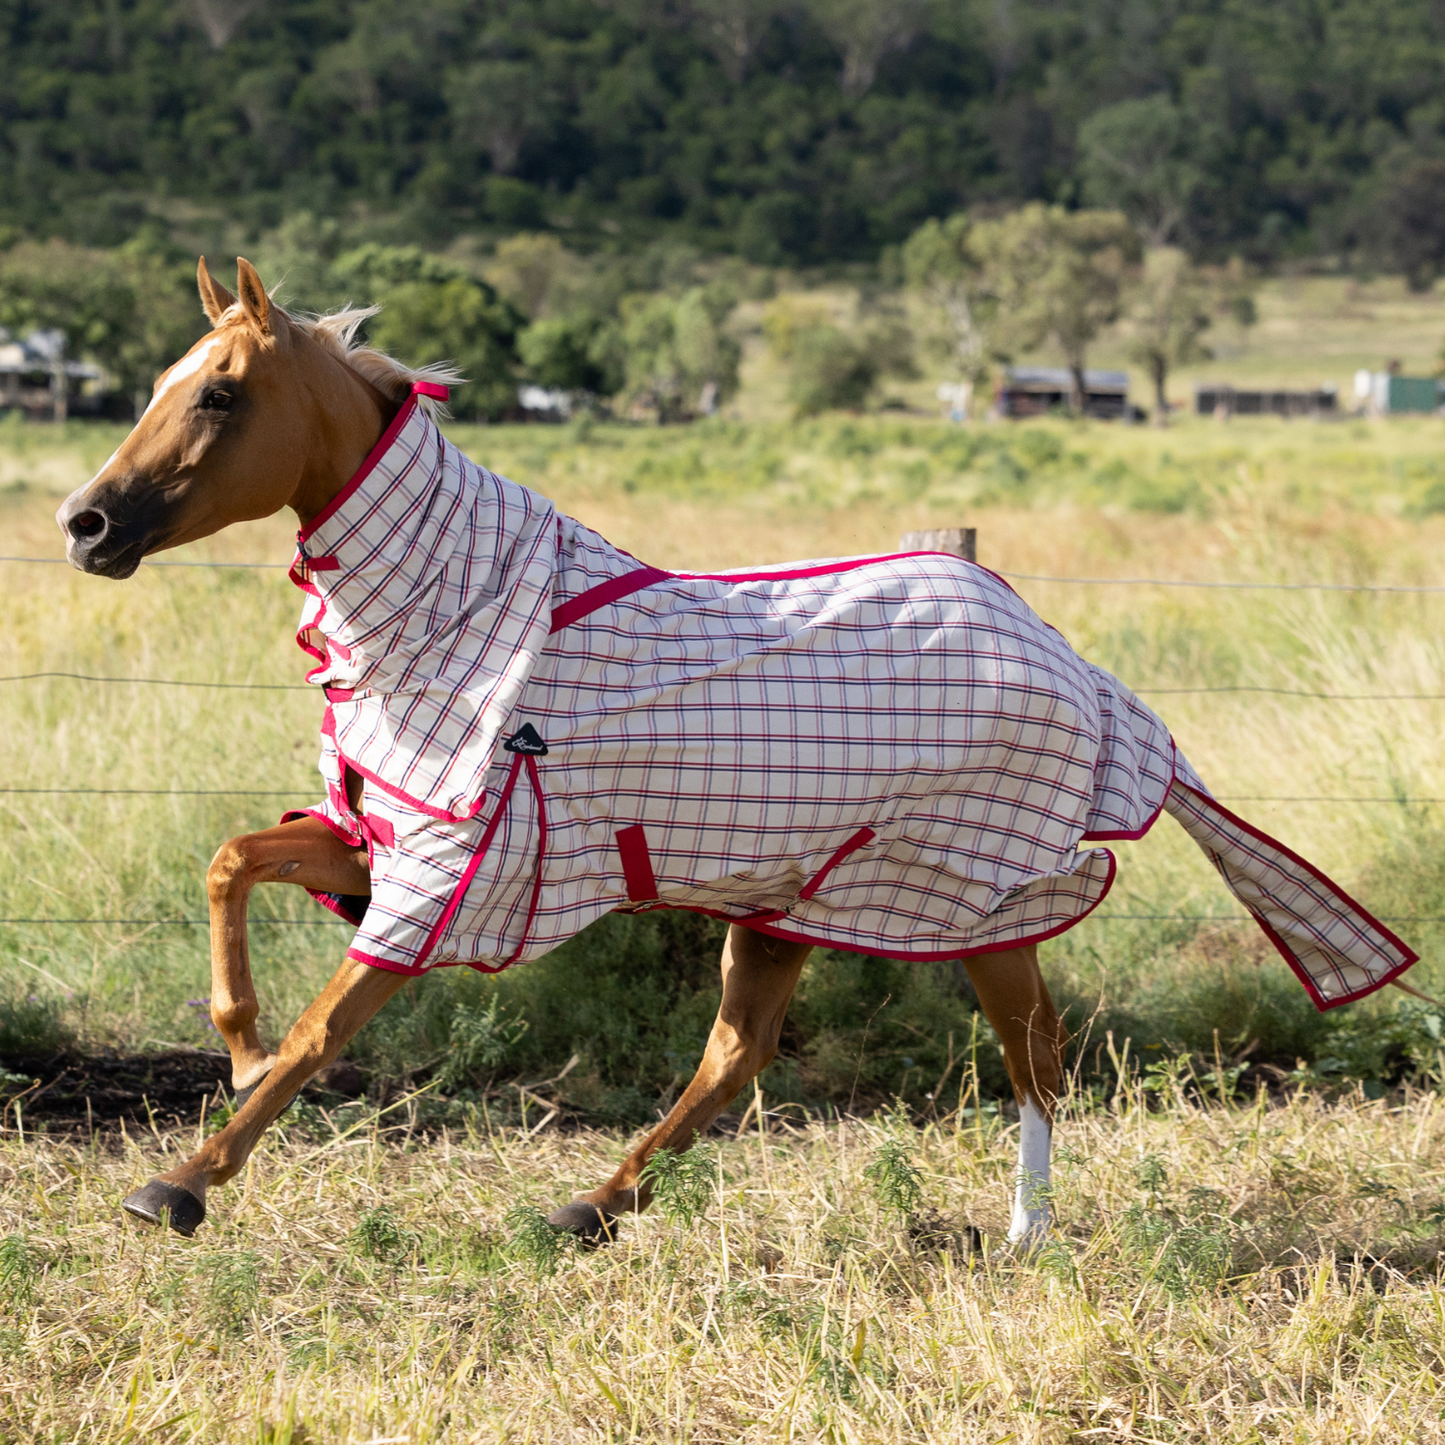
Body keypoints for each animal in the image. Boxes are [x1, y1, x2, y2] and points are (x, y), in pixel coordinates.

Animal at [59, 257, 1421, 1242]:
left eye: (219, 392)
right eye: (160, 379)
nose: (86, 524)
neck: (458, 612)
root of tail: (1070, 661)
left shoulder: (438, 880)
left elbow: (321, 1031)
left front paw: (181, 1180)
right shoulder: (373, 838)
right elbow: (232, 864)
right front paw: (231, 1046)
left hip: (957, 901)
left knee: (1033, 1054)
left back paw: (1025, 1233)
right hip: (791, 902)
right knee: (739, 1058)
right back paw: (591, 1204)